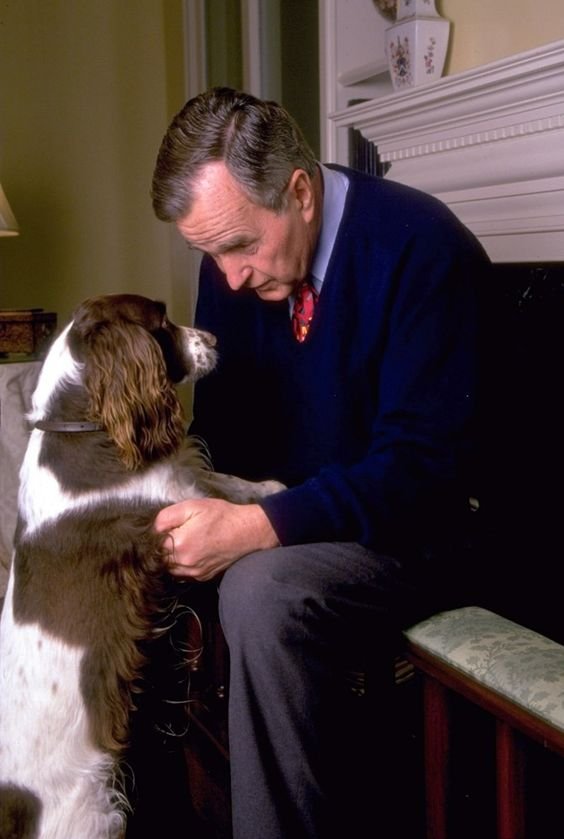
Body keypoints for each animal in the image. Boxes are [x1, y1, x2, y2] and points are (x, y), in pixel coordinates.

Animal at [0, 294, 282, 839]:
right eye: (162, 321)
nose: (212, 338)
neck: (91, 428)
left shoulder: (188, 482)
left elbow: (228, 481)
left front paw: (271, 486)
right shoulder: (171, 512)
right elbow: (229, 507)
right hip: (87, 815)